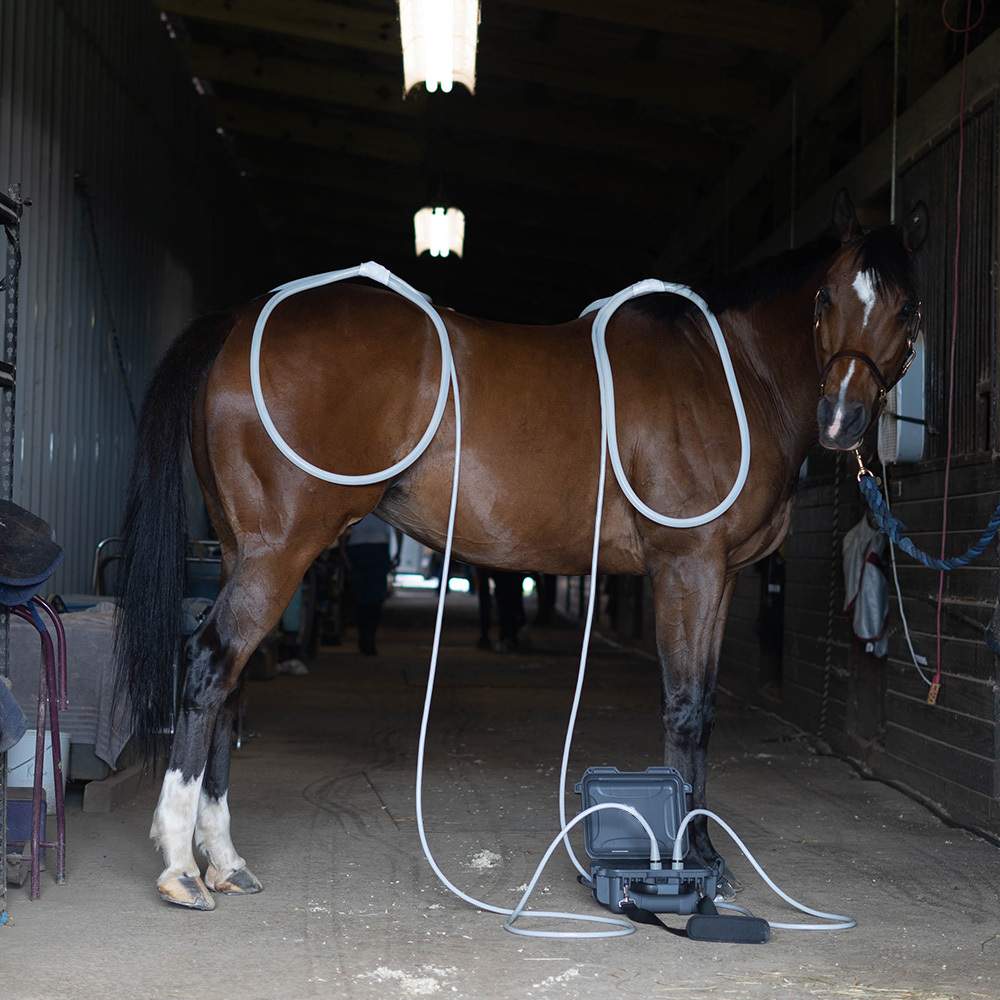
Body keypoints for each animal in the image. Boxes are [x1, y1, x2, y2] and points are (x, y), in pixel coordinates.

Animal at [114, 189, 927, 910]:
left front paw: (703, 855)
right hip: (280, 550)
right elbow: (686, 707)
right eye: (824, 299)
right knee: (210, 663)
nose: (842, 418)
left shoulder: (719, 578)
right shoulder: (687, 567)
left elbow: (704, 709)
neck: (730, 375)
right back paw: (181, 866)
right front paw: (689, 859)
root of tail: (239, 320)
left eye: (907, 309)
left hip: (245, 551)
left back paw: (224, 860)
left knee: (232, 682)